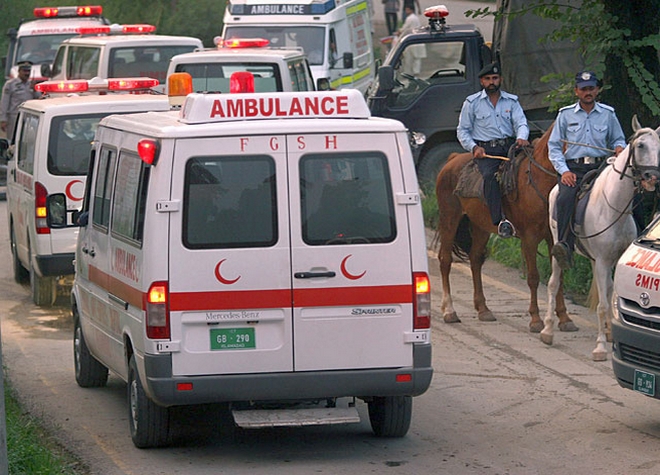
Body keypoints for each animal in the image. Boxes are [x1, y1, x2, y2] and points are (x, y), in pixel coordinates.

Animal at [436, 128, 576, 332]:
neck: (537, 180)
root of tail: (451, 160)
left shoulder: (553, 239)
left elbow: (559, 278)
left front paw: (565, 319)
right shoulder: (529, 238)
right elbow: (533, 277)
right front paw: (535, 320)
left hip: (480, 226)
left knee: (475, 259)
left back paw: (483, 309)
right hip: (449, 219)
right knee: (445, 259)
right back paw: (449, 311)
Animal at [540, 118, 660, 360]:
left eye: (659, 148)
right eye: (641, 145)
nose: (653, 178)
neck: (614, 208)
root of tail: (556, 188)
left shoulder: (610, 261)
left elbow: (611, 296)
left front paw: (610, 335)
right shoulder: (604, 262)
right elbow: (603, 305)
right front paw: (600, 347)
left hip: (596, 260)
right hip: (559, 249)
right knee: (553, 284)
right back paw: (547, 330)